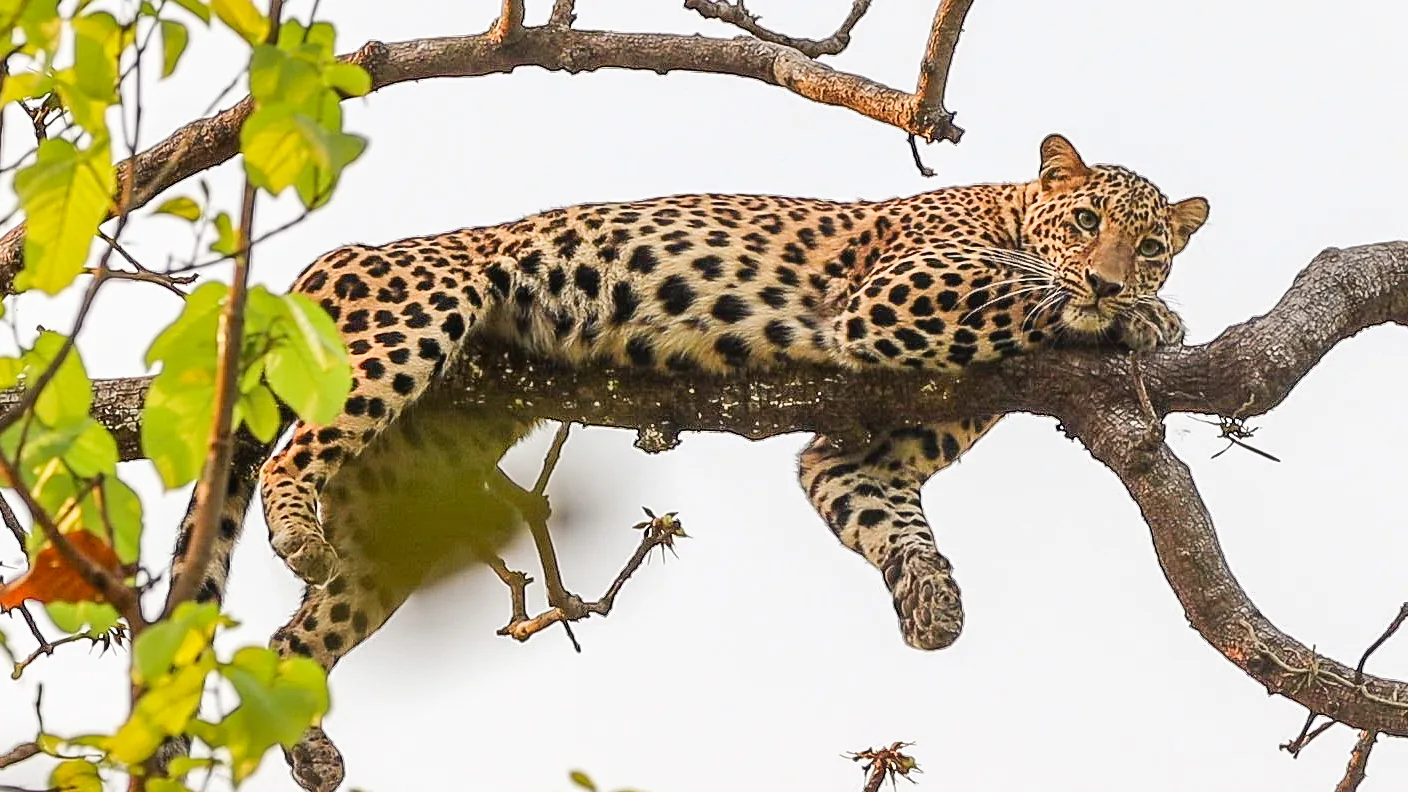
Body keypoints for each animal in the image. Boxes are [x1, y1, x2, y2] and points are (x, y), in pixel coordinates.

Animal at [161, 135, 1207, 791]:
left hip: (408, 496)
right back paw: (294, 531)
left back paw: (307, 742)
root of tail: (320, 265)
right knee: (298, 453)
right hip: (407, 321)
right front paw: (1143, 316)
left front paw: (933, 605)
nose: (1114, 274)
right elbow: (1026, 290)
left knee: (296, 635)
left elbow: (887, 517)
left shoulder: (856, 453)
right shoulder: (896, 296)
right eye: (1086, 223)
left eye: (1153, 242)